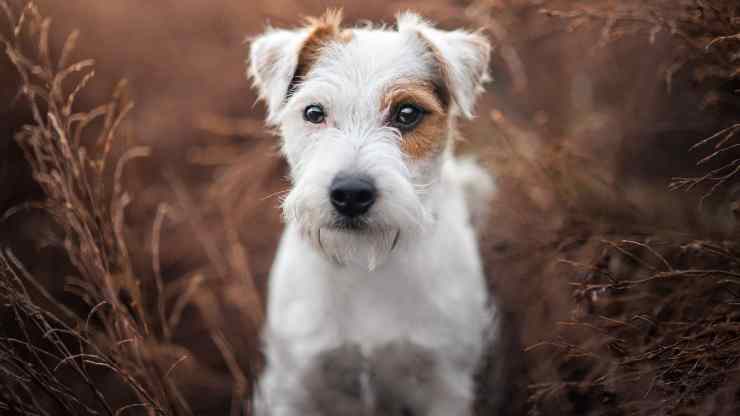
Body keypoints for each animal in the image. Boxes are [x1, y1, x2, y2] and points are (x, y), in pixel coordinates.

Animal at [249, 10, 498, 416]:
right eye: (314, 112)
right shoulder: (294, 383)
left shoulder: (445, 383)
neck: (365, 266)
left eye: (408, 113)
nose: (351, 194)